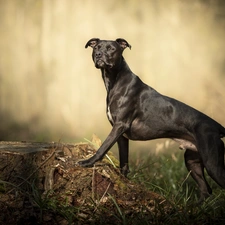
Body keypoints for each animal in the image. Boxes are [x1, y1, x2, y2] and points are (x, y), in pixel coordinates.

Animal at [78, 38, 225, 200]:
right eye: (96, 47)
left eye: (111, 48)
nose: (99, 54)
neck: (116, 80)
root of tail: (217, 127)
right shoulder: (121, 135)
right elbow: (124, 161)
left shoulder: (119, 126)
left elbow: (103, 148)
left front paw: (88, 162)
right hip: (192, 161)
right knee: (206, 190)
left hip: (212, 163)